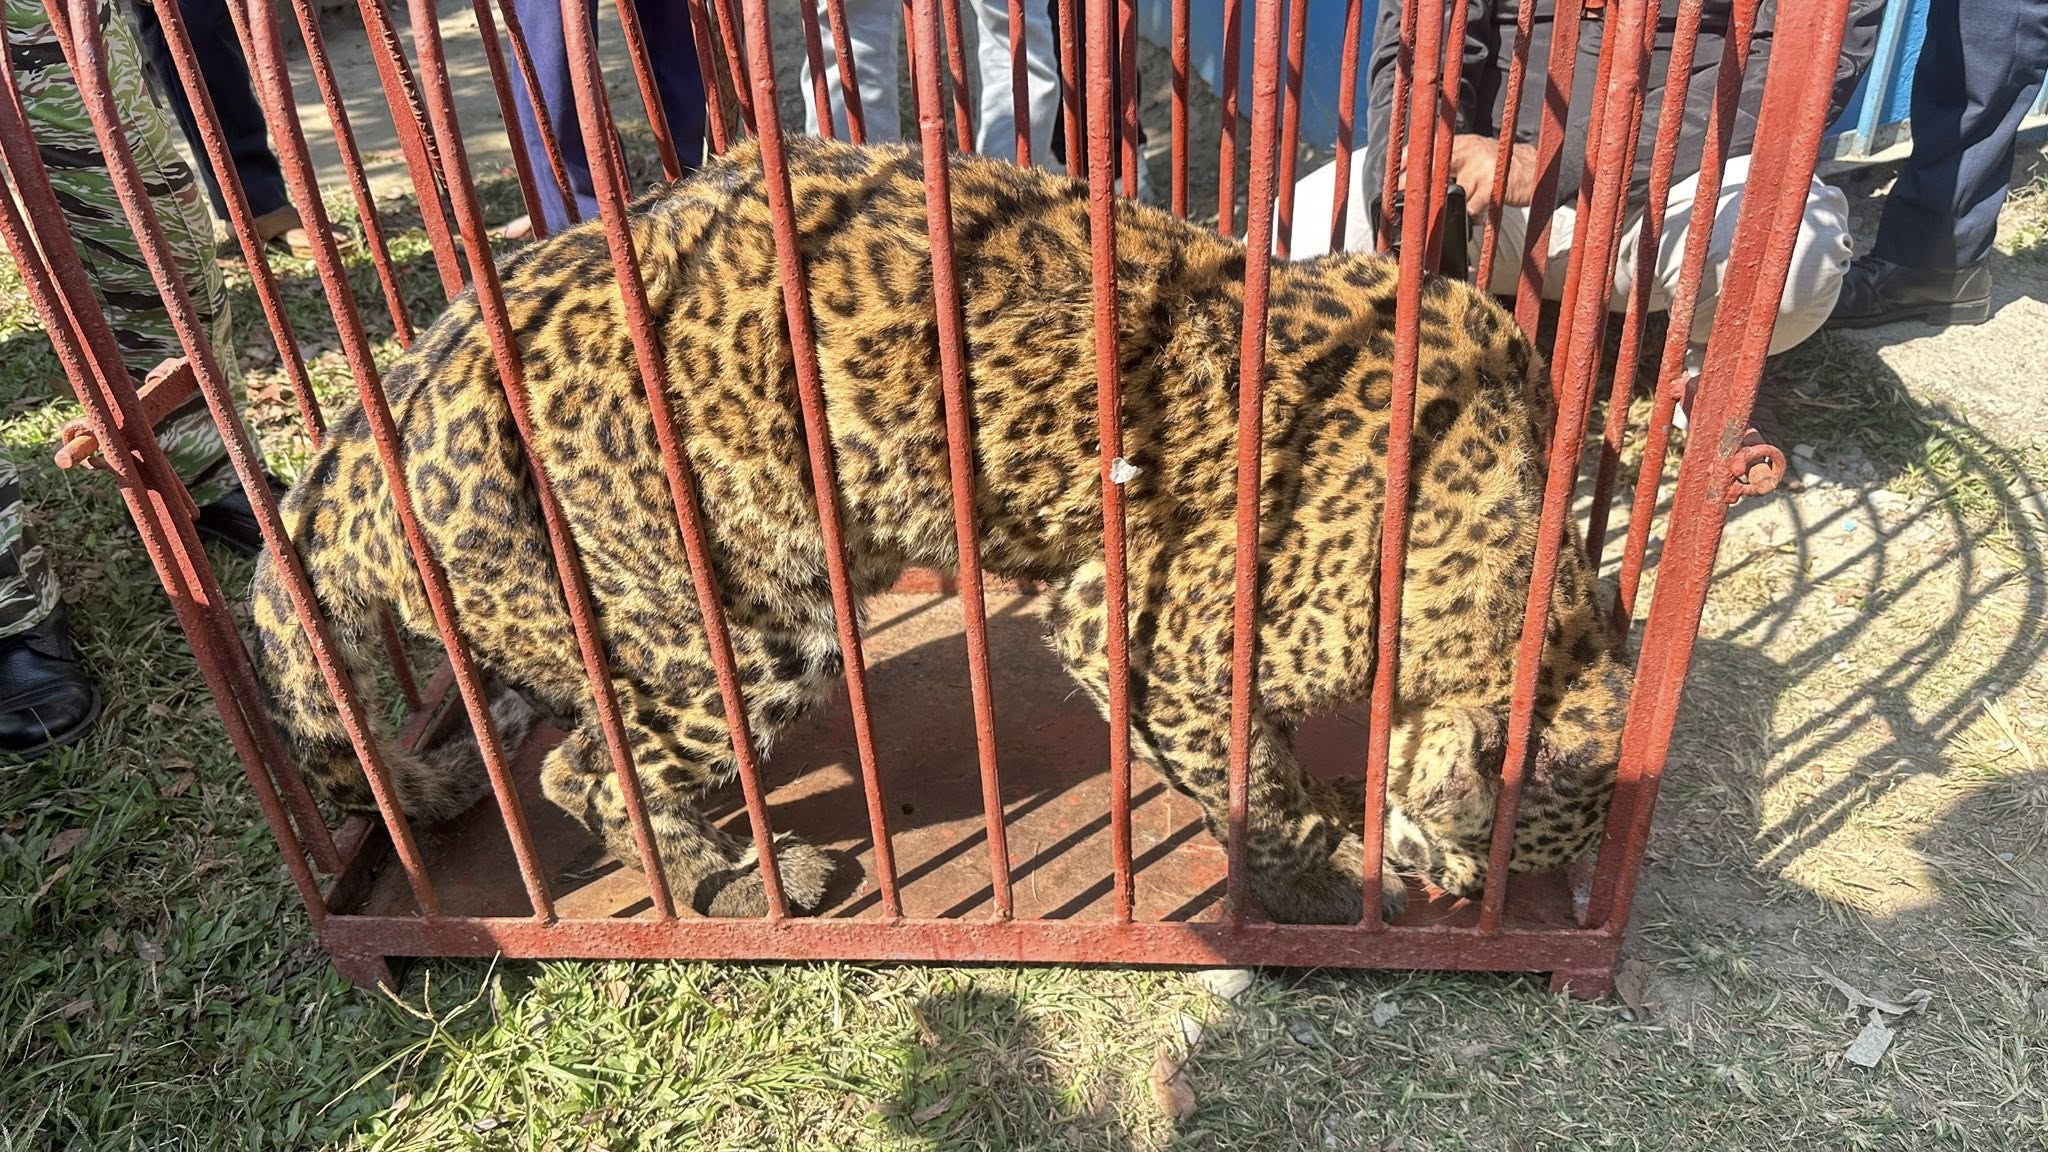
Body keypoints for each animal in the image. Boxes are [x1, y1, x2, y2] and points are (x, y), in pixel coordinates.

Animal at [248, 135, 1630, 925]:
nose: (1464, 892)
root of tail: (375, 421)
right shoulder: (1141, 635)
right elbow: (1251, 778)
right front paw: (1332, 861)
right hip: (734, 637)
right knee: (581, 770)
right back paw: (734, 883)